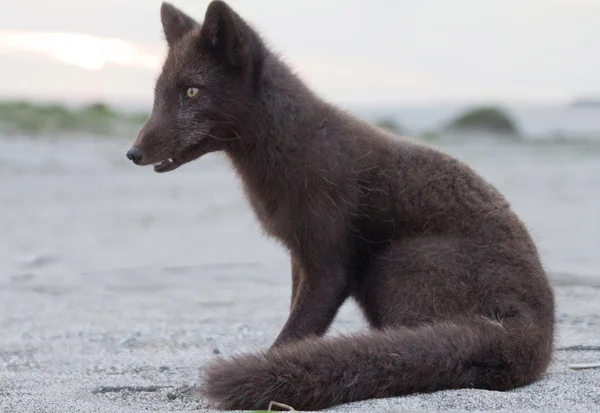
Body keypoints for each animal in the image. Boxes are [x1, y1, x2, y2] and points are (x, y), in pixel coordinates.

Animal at [125, 1, 552, 410]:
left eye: (191, 92)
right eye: (158, 93)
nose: (133, 153)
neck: (290, 147)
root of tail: (537, 330)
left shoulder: (328, 263)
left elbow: (296, 332)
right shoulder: (299, 256)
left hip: (395, 265)